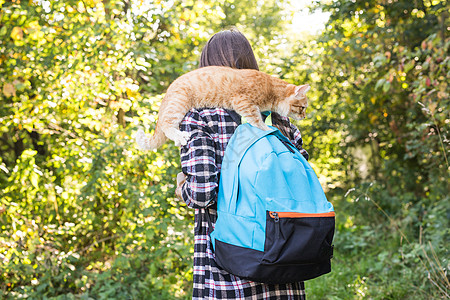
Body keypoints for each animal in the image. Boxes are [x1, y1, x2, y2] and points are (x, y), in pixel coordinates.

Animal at [135, 66, 310, 149]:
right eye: (302, 108)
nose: (304, 116)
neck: (271, 89)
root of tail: (167, 92)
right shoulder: (242, 101)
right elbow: (257, 120)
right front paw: (267, 129)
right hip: (179, 102)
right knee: (166, 123)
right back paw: (179, 136)